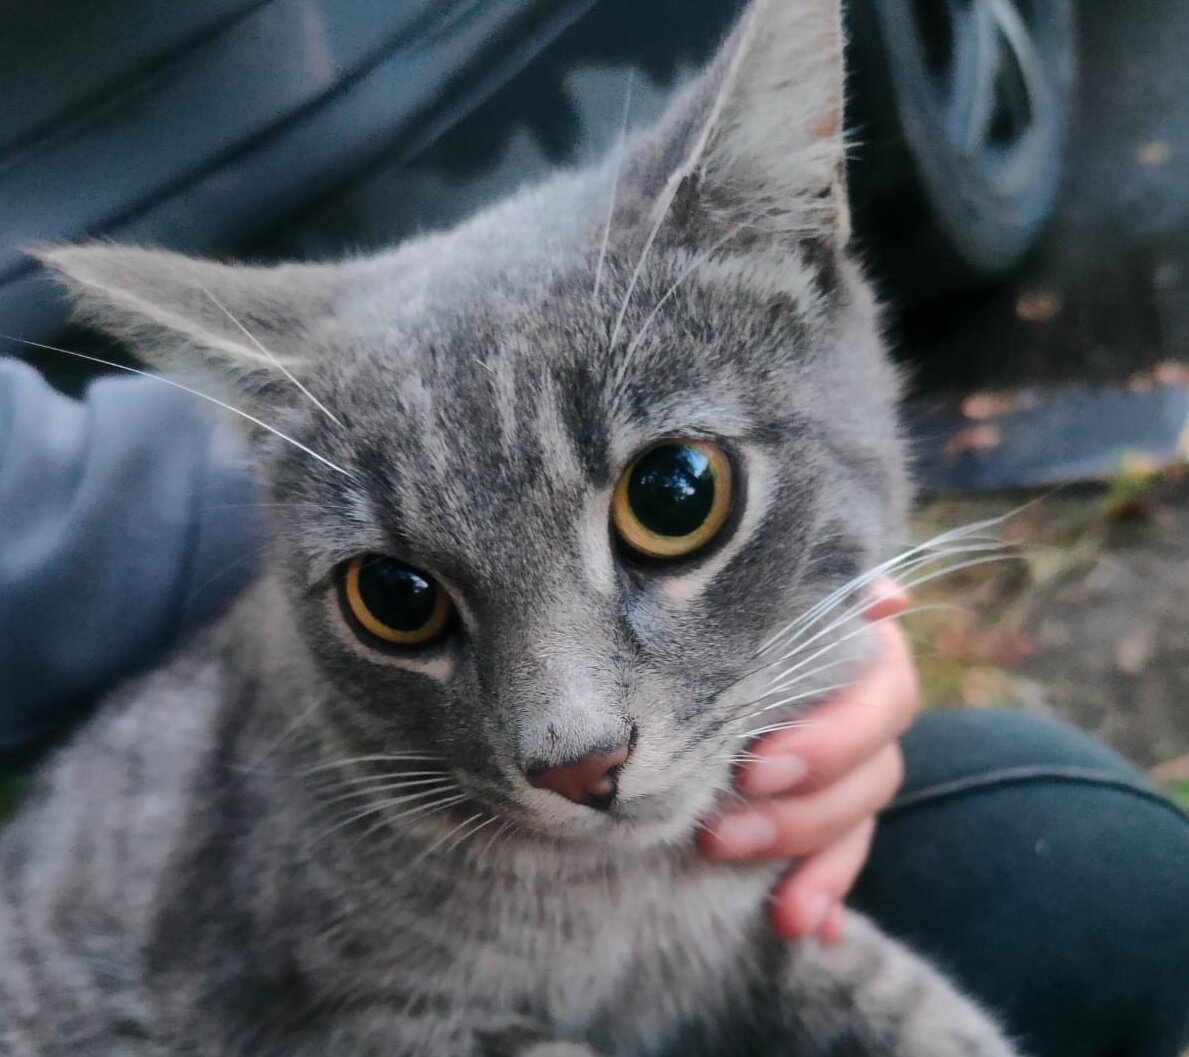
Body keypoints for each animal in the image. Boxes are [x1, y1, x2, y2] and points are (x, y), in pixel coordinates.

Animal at [0, 0, 1022, 1051]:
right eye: (394, 596)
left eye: (674, 495)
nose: (580, 765)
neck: (641, 902)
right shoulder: (347, 1022)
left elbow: (903, 1000)